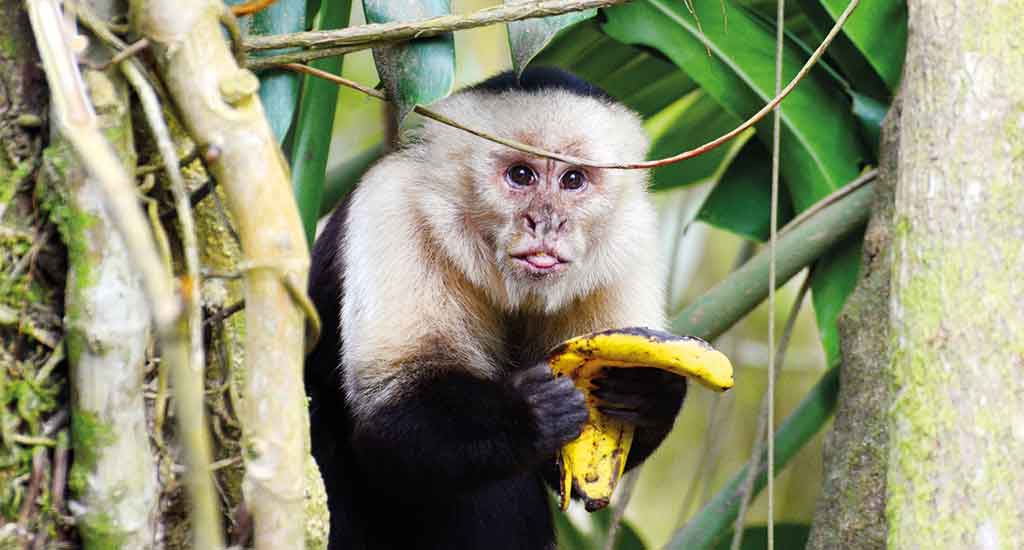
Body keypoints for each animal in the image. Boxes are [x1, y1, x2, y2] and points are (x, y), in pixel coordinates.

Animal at [305, 67, 687, 550]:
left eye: (573, 180)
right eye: (521, 175)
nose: (547, 222)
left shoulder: (629, 242)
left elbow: (565, 470)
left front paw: (648, 391)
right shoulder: (393, 209)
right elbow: (391, 415)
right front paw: (529, 412)